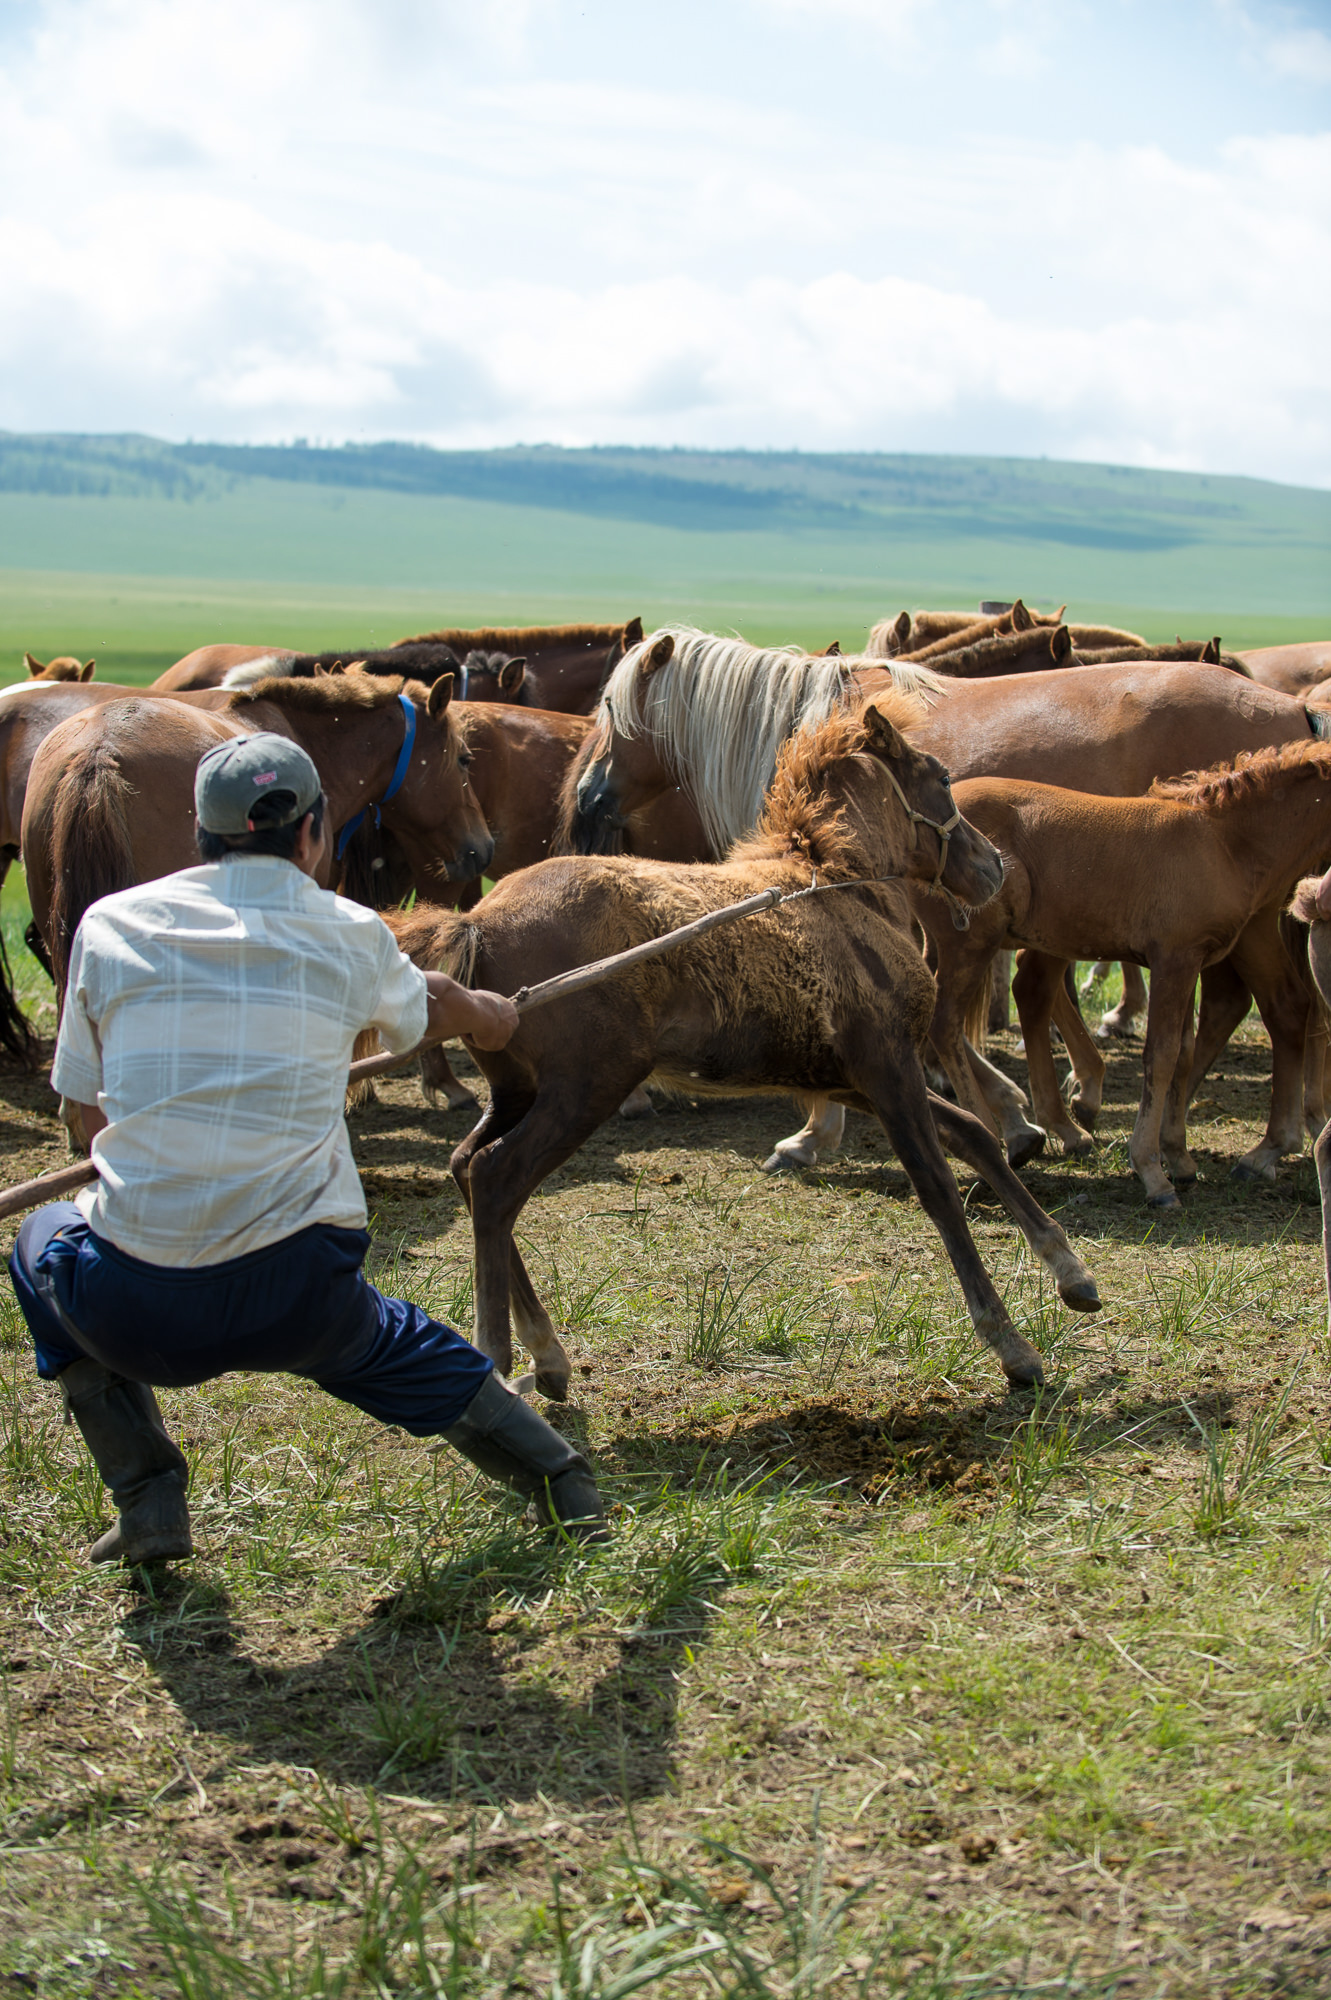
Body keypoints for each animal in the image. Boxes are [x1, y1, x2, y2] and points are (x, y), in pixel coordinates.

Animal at [389, 703, 1103, 1400]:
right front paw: (1013, 1347)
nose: (993, 868)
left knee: (465, 1167)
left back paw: (548, 1357)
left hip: (519, 1089)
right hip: (586, 1086)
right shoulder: (887, 1066)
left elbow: (973, 1136)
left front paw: (1072, 1275)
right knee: (496, 1180)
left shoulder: (852, 1079)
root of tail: (477, 922)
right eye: (943, 778)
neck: (843, 889)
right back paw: (502, 1360)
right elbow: (937, 1185)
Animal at [917, 742, 1331, 1207]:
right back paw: (993, 1135)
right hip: (971, 943)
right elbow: (1161, 1056)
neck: (1220, 840)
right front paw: (1153, 1172)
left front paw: (1179, 1158)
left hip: (942, 942)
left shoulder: (1190, 962)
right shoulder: (1174, 958)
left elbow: (1184, 1053)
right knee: (945, 1023)